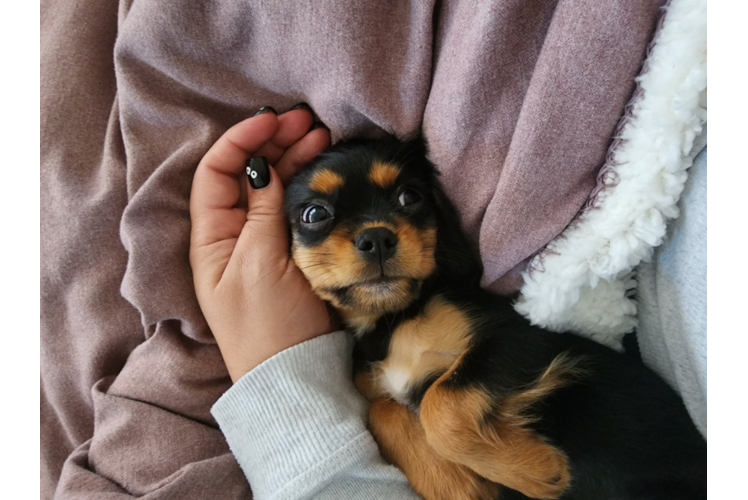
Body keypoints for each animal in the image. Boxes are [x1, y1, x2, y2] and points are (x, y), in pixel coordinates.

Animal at [284, 135, 708, 498]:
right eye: (314, 213)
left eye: (410, 196)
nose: (377, 239)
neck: (394, 318)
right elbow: (381, 408)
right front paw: (457, 484)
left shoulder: (518, 337)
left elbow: (441, 403)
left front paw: (540, 471)